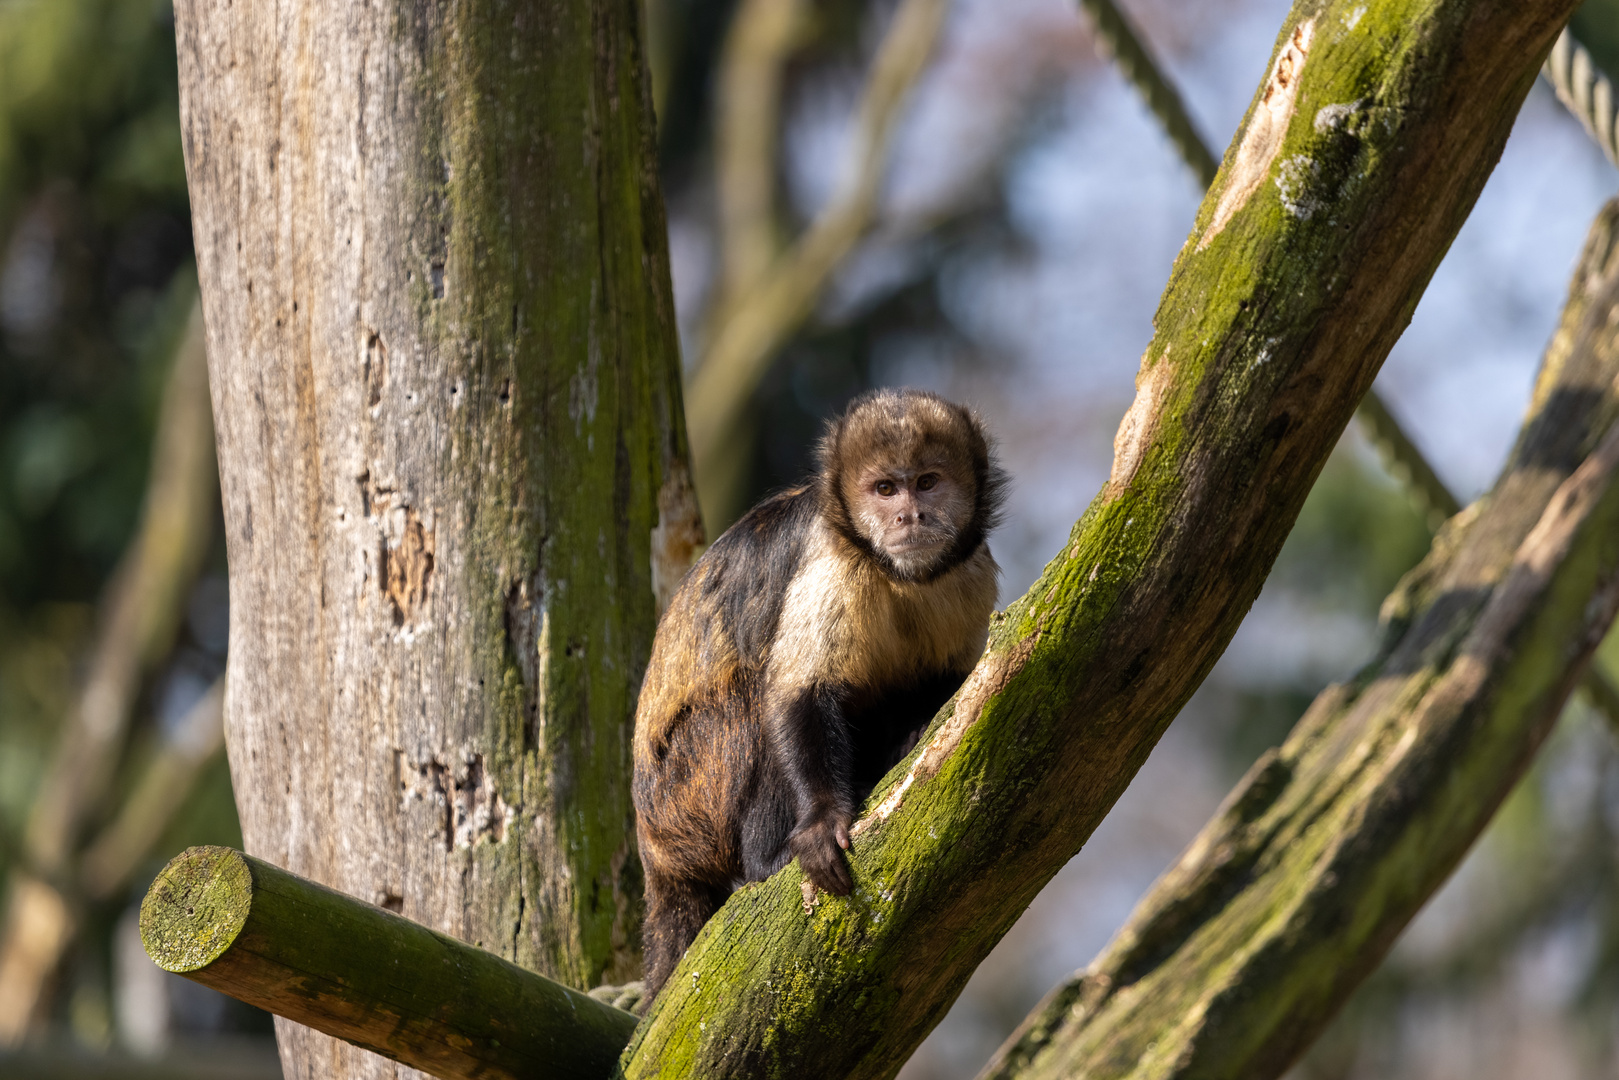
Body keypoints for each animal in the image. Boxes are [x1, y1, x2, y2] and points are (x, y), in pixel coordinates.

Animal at [628, 388, 997, 1003]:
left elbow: (954, 679)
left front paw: (916, 730)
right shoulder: (828, 559)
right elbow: (799, 693)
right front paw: (824, 819)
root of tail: (652, 849)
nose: (910, 515)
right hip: (684, 794)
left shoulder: (970, 572)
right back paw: (768, 856)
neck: (893, 574)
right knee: (752, 695)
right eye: (885, 490)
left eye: (927, 482)